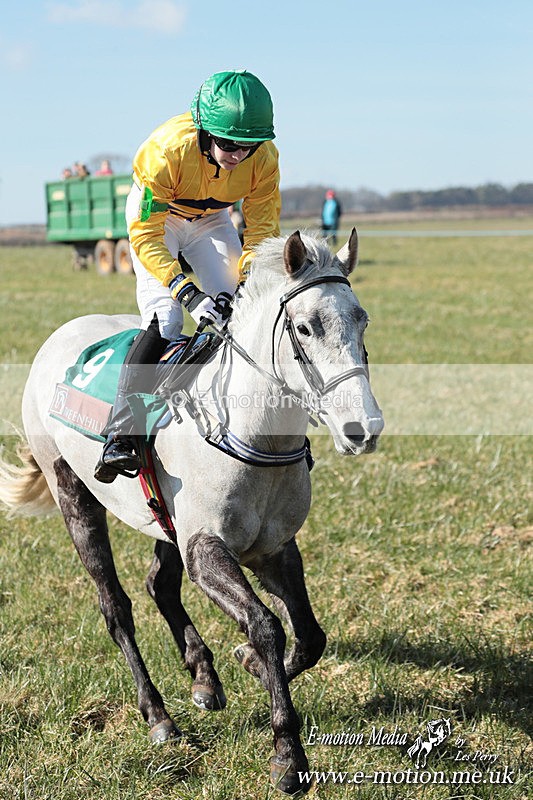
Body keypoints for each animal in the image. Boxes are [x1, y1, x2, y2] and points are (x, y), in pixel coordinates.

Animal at [0, 229, 383, 794]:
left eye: (362, 320)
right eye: (305, 327)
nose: (363, 428)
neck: (251, 434)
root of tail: (60, 335)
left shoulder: (274, 548)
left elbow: (311, 637)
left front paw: (247, 665)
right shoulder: (205, 548)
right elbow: (266, 626)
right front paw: (287, 753)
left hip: (165, 519)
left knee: (159, 584)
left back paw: (203, 676)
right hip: (74, 495)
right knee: (115, 607)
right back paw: (158, 716)